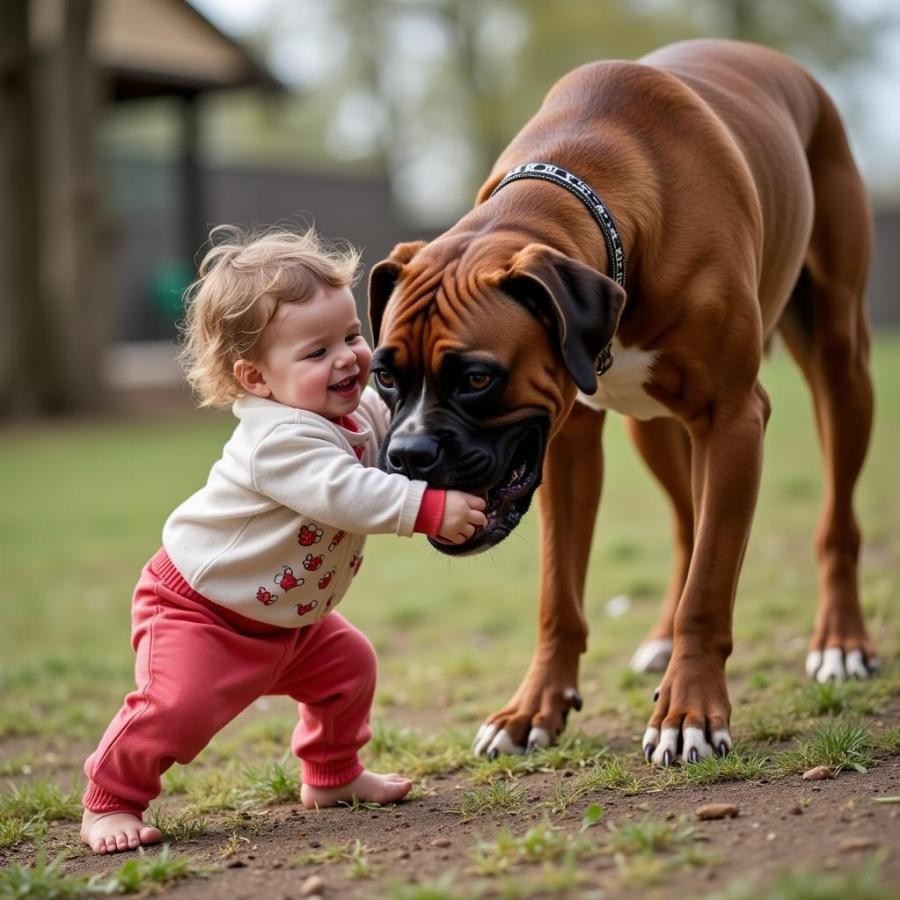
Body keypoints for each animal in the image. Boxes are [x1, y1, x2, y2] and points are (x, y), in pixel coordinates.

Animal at [370, 38, 876, 764]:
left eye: (477, 379)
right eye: (385, 376)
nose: (408, 455)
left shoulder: (733, 420)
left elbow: (709, 588)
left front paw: (689, 713)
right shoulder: (567, 444)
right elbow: (560, 594)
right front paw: (535, 707)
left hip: (841, 365)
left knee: (835, 521)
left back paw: (840, 643)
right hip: (653, 429)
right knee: (689, 525)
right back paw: (663, 639)